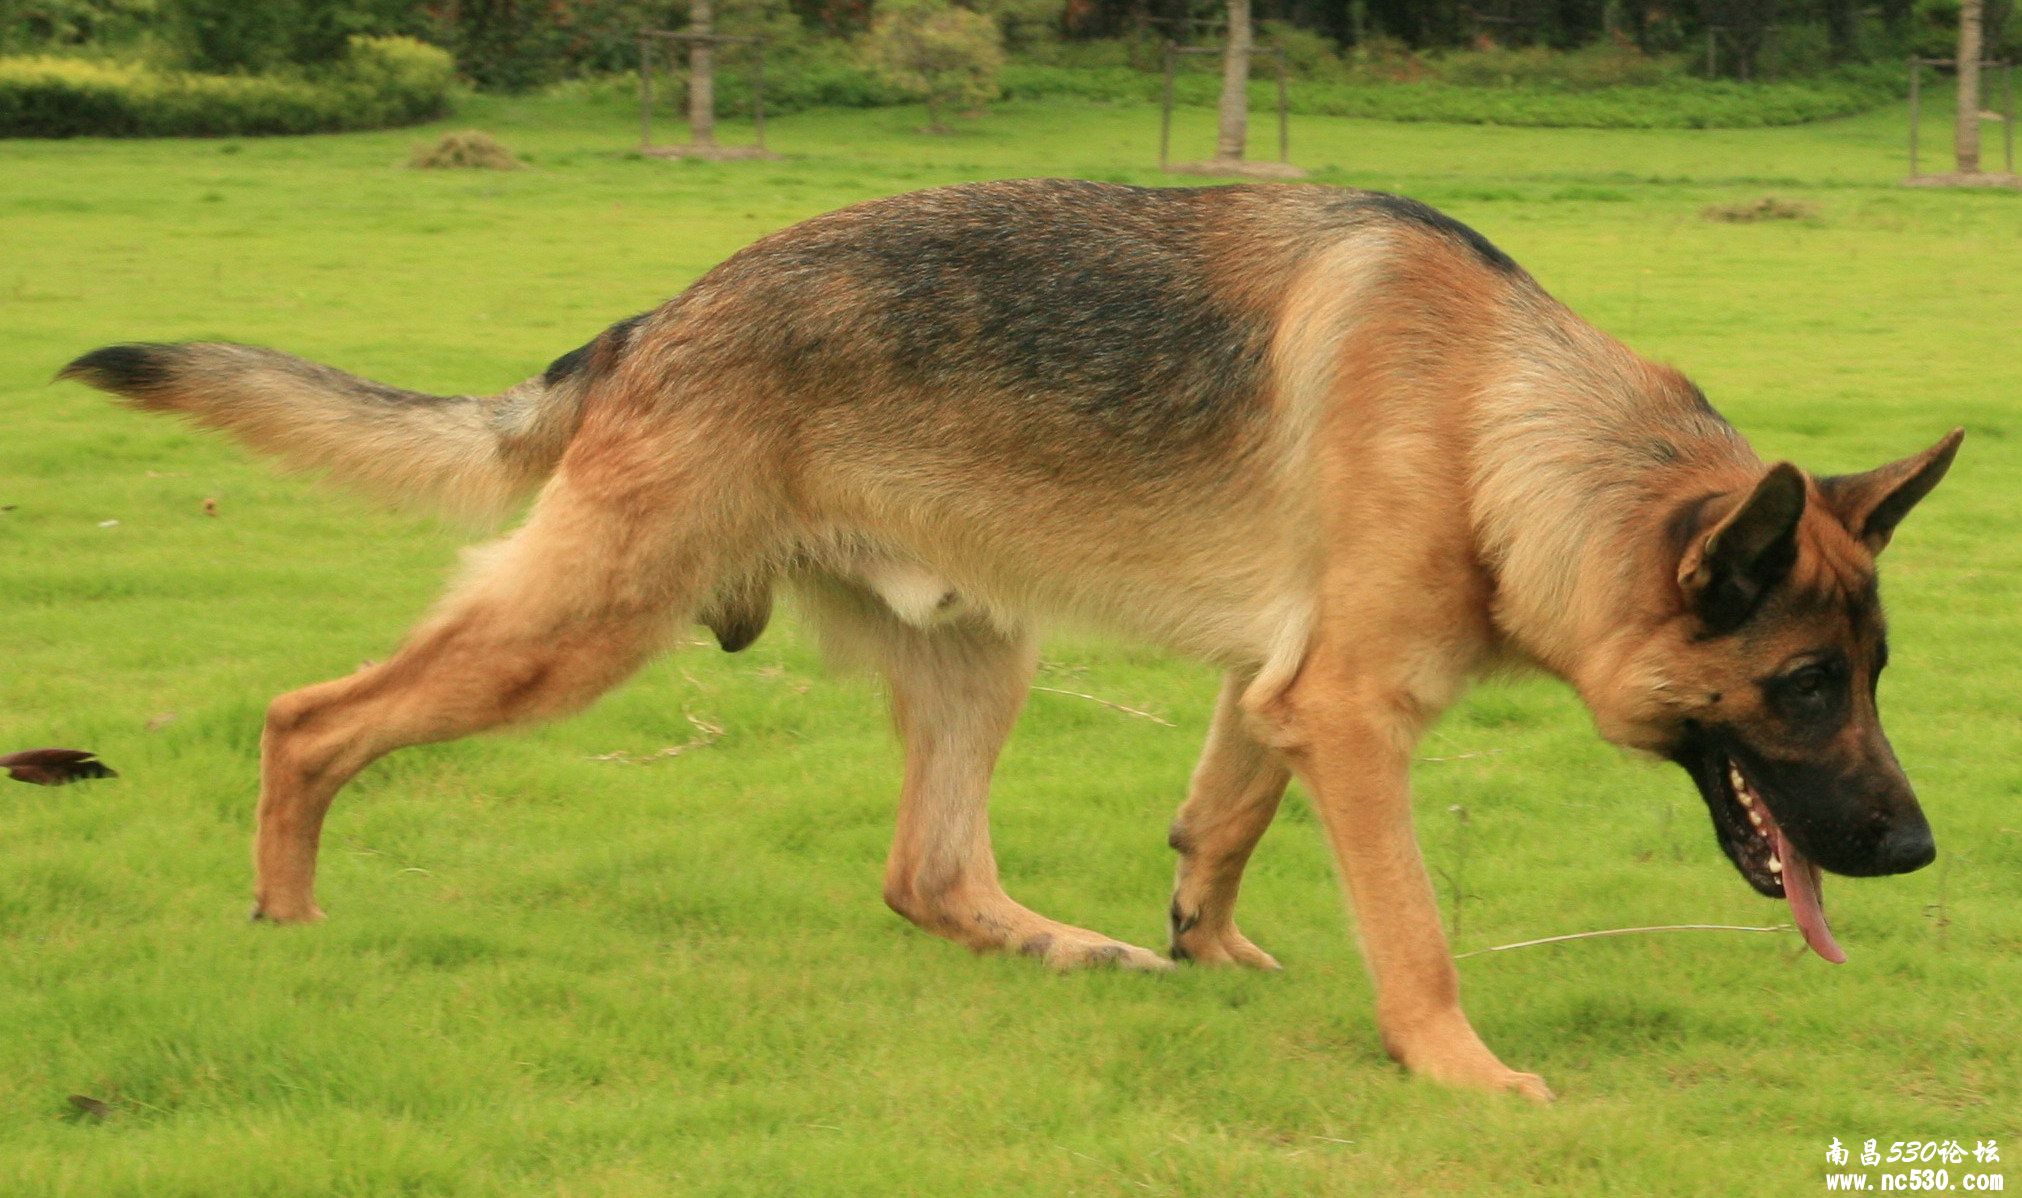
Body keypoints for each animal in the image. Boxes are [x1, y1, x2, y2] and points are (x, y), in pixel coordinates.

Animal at [63, 178, 1957, 1092]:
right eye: (1802, 686)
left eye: (1868, 681)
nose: (1920, 850)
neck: (1503, 423)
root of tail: (649, 322)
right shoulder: (1350, 707)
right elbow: (1412, 932)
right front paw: (1463, 1070)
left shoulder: (1279, 688)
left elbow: (1221, 819)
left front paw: (1206, 943)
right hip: (582, 624)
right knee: (309, 715)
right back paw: (287, 918)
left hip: (982, 659)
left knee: (924, 873)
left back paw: (1078, 952)